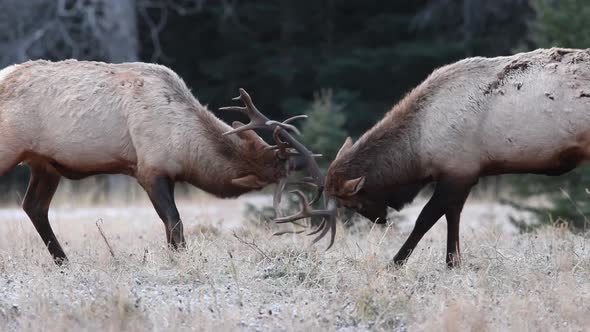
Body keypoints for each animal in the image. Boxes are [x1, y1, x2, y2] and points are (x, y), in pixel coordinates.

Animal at [0, 60, 324, 264]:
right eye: (283, 164)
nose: (321, 178)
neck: (188, 146)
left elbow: (171, 223)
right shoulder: (149, 169)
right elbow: (174, 220)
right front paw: (179, 258)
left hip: (44, 164)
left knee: (34, 207)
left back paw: (63, 262)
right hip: (10, 149)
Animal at [278, 48, 590, 268]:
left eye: (351, 202)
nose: (380, 220)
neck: (418, 150)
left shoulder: (459, 169)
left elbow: (426, 218)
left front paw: (396, 263)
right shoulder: (463, 173)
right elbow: (453, 216)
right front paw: (453, 263)